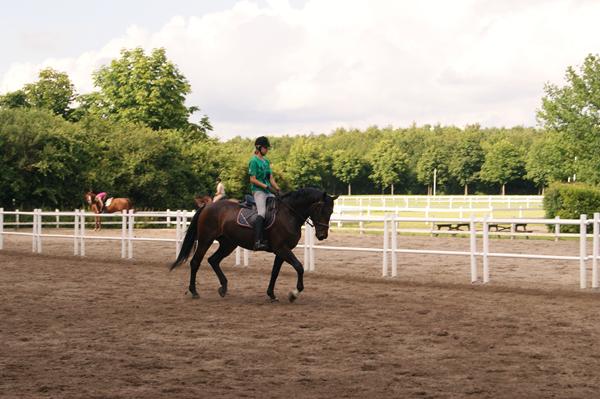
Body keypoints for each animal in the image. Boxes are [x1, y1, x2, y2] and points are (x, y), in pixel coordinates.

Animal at [170, 188, 338, 304]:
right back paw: (194, 292)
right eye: (321, 209)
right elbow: (299, 267)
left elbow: (275, 272)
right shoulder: (282, 249)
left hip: (228, 244)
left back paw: (223, 288)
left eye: (331, 211)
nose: (322, 235)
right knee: (195, 262)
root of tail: (208, 206)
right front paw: (294, 294)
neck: (289, 214)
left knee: (213, 260)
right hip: (206, 240)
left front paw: (271, 294)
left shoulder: (281, 251)